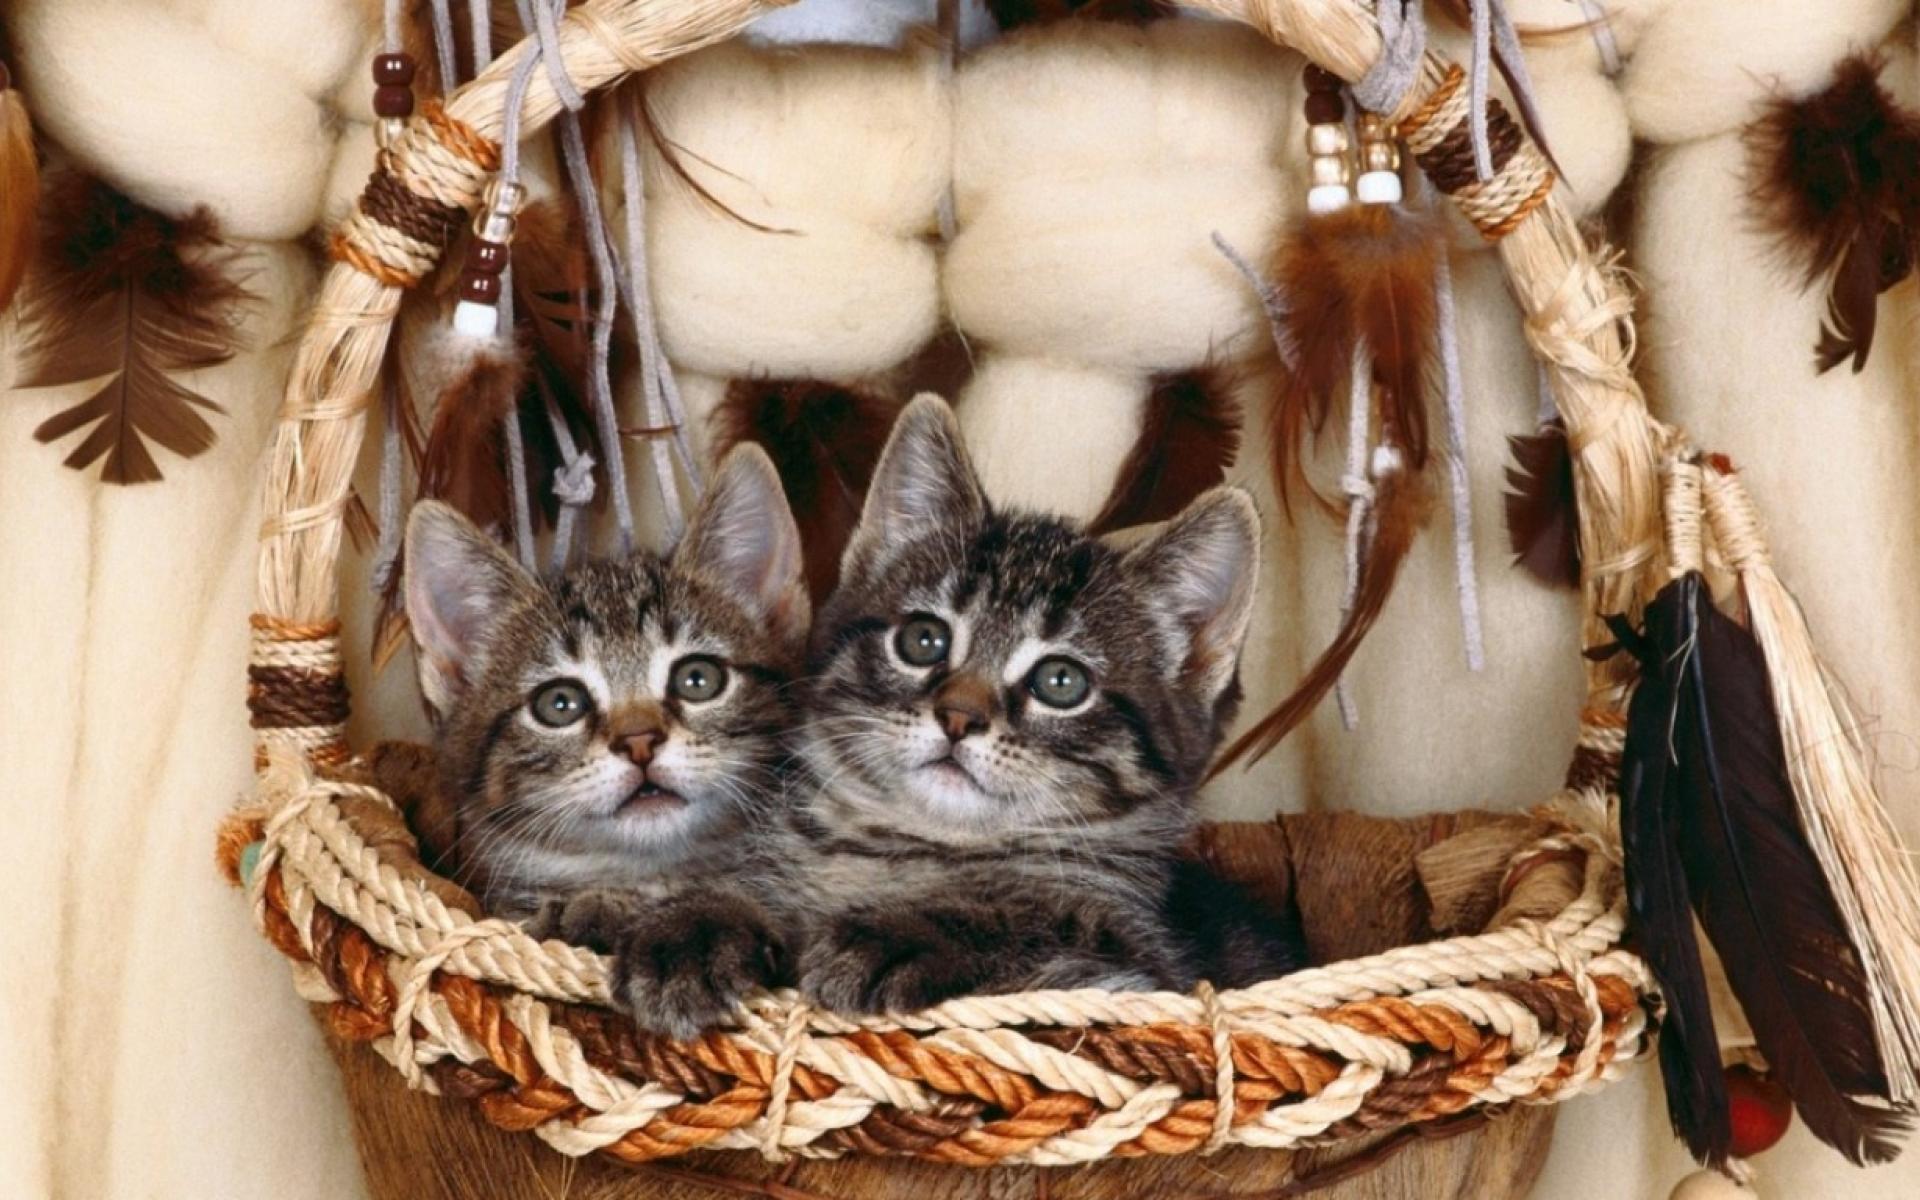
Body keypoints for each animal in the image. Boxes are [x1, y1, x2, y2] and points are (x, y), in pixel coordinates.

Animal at [545, 395, 1303, 1037]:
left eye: (1061, 682)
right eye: (923, 640)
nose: (958, 716)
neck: (912, 847)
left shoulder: (1141, 962)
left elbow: (1034, 919)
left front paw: (896, 935)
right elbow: (745, 892)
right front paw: (694, 929)